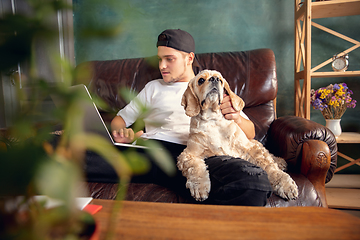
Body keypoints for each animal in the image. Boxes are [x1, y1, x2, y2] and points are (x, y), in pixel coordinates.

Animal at [177, 69, 298, 201]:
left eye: (220, 80)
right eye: (201, 80)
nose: (215, 79)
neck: (212, 119)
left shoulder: (250, 149)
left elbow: (270, 167)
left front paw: (286, 185)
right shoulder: (189, 154)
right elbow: (195, 168)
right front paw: (199, 187)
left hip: (256, 144)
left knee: (269, 155)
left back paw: (280, 162)